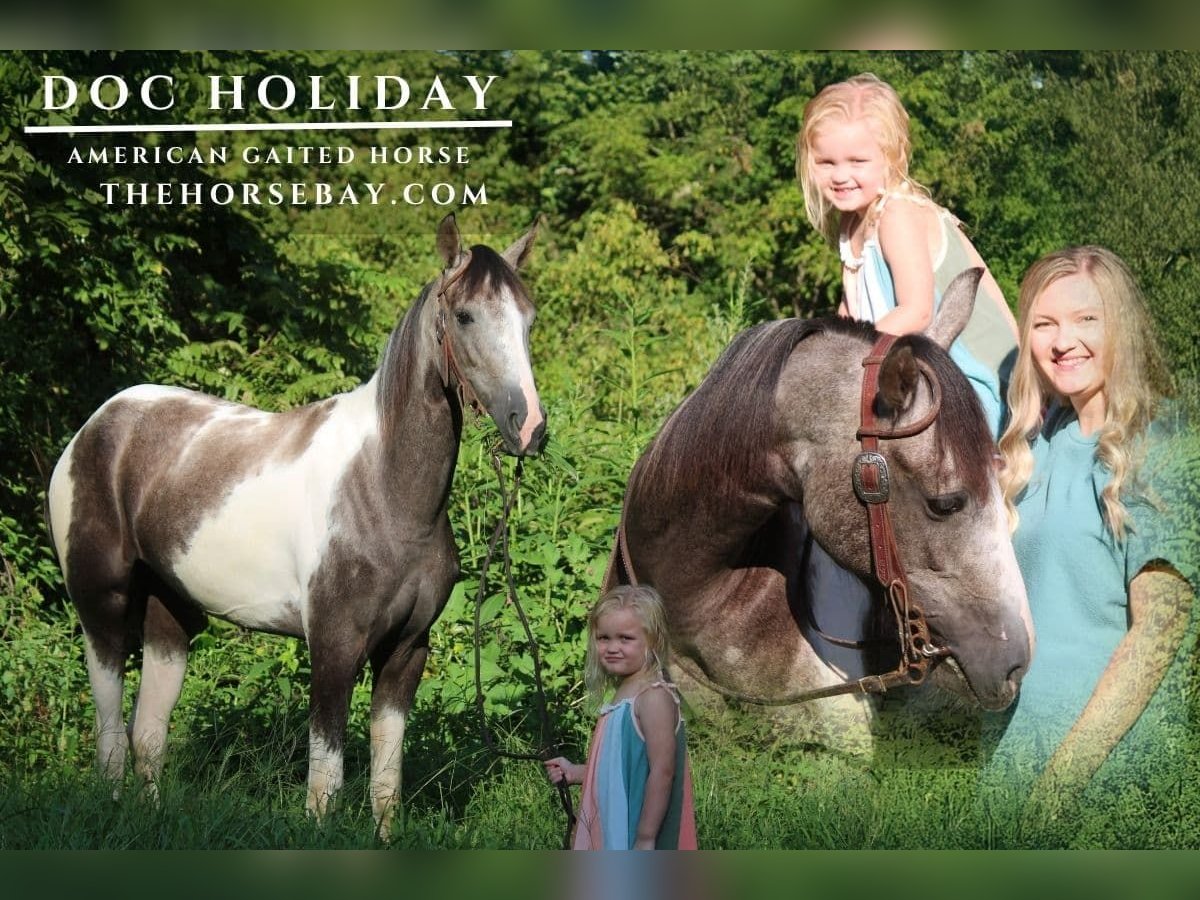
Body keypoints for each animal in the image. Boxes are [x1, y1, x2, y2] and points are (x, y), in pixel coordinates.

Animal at [45, 214, 546, 834]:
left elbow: (386, 776)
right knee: (111, 731)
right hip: (103, 606)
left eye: (528, 318)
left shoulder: (407, 650)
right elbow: (325, 779)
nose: (529, 427)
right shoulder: (333, 646)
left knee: (148, 734)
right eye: (466, 316)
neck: (386, 492)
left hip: (171, 615)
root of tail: (96, 425)